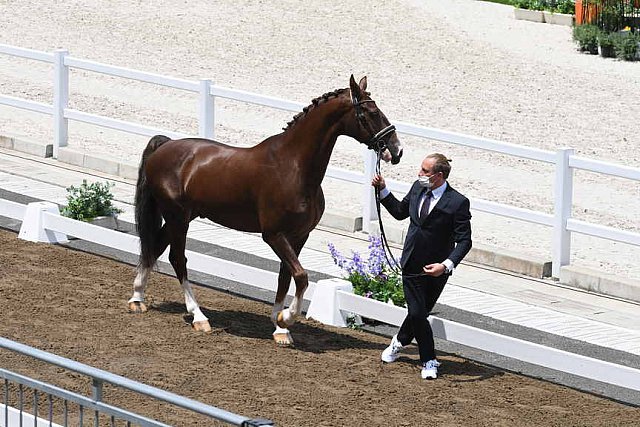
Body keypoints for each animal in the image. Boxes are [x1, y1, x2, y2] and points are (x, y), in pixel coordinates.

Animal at [127, 75, 402, 346]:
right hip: (178, 217)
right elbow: (301, 276)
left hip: (183, 217)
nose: (396, 149)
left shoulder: (299, 236)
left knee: (156, 247)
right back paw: (198, 316)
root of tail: (166, 146)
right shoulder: (273, 235)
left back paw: (137, 298)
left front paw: (280, 327)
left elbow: (286, 276)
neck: (293, 167)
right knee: (177, 258)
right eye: (371, 112)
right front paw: (286, 318)